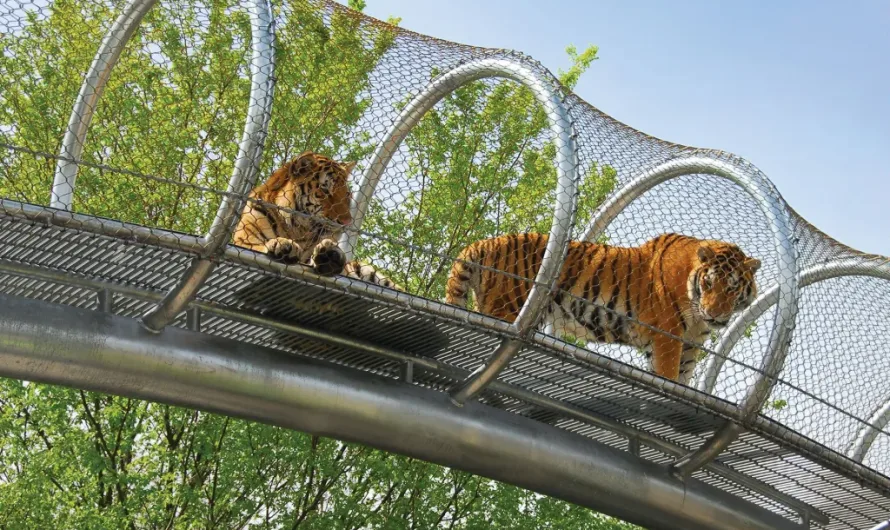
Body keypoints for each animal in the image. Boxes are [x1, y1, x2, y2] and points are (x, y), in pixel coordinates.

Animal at [233, 151, 400, 290]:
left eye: (347, 194)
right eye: (325, 190)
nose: (347, 222)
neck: (297, 229)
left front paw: (330, 255)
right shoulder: (244, 241)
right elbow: (257, 247)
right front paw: (283, 244)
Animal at [445, 232, 761, 384]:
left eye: (732, 288)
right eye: (708, 283)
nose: (716, 314)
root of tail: (483, 244)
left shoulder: (691, 346)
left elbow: (682, 381)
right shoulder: (667, 337)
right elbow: (667, 375)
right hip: (505, 309)